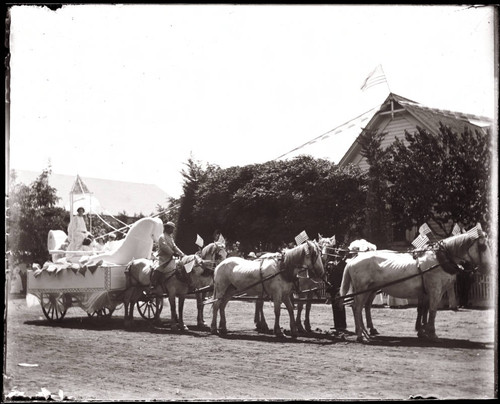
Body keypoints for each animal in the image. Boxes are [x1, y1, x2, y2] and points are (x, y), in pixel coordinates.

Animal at [340, 230, 492, 340]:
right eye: (483, 246)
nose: (489, 268)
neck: (439, 260)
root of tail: (353, 259)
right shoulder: (435, 290)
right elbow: (432, 310)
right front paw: (432, 333)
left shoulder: (425, 292)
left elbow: (423, 310)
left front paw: (422, 330)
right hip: (362, 289)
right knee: (357, 307)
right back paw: (360, 334)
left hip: (368, 290)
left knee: (362, 307)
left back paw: (365, 331)